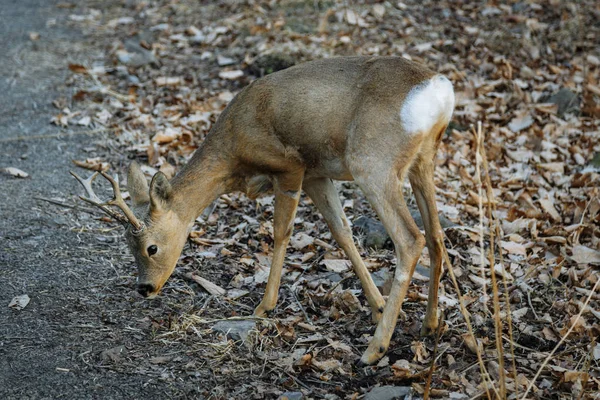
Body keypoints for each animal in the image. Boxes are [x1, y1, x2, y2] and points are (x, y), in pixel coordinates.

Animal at [71, 56, 454, 366]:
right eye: (127, 246)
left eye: (151, 247)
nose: (144, 288)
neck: (233, 153)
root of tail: (438, 92)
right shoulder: (316, 174)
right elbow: (342, 232)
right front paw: (376, 305)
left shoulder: (290, 166)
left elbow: (281, 233)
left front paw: (264, 307)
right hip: (423, 161)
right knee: (436, 235)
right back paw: (429, 324)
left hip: (372, 161)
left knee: (411, 239)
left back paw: (374, 350)